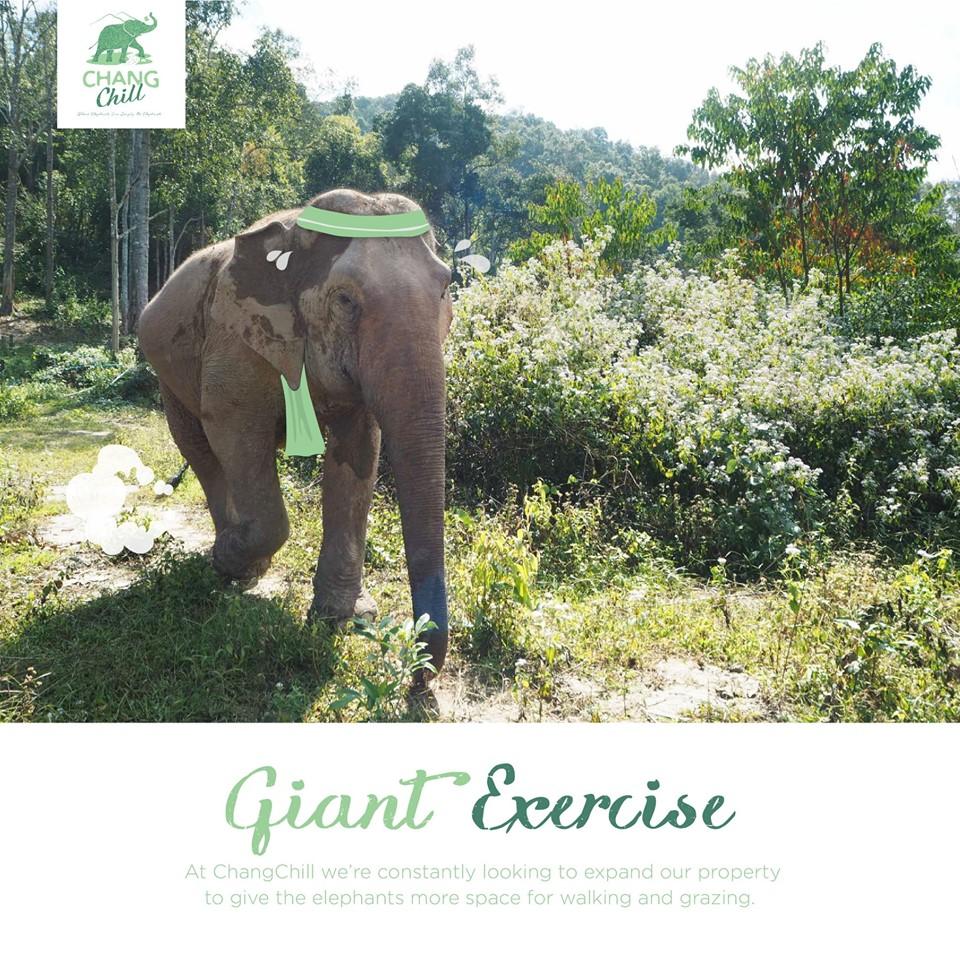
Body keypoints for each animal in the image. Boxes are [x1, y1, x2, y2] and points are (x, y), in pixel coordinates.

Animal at [139, 190, 454, 677]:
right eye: (344, 300)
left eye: (445, 288)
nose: (418, 678)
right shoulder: (235, 344)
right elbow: (234, 430)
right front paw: (230, 561)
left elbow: (358, 453)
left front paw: (345, 619)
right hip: (169, 373)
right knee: (201, 450)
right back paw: (234, 563)